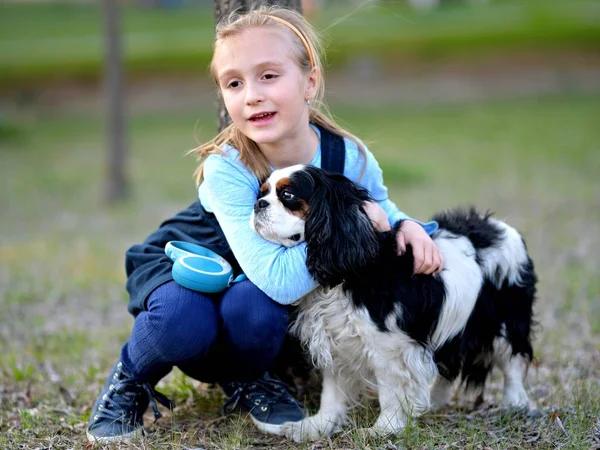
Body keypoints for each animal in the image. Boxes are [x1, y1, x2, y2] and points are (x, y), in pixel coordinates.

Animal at [251, 164, 536, 440]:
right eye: (262, 192)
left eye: (287, 195)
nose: (258, 204)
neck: (347, 273)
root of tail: (501, 227)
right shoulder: (337, 340)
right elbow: (332, 390)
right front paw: (319, 425)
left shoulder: (391, 348)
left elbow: (390, 390)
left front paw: (385, 428)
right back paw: (435, 401)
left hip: (505, 322)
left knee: (511, 361)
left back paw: (516, 402)